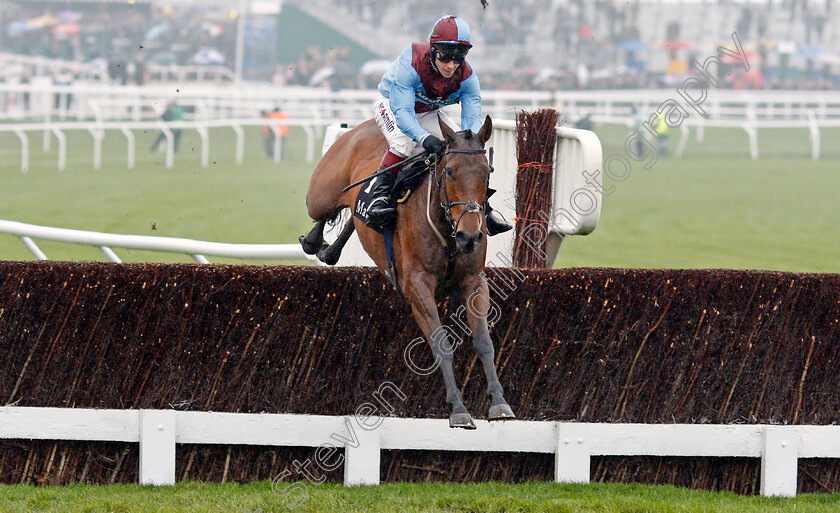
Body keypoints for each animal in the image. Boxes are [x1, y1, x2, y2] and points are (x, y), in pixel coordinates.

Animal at [298, 116, 516, 428]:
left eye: (487, 173)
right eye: (450, 171)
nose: (470, 237)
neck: (448, 230)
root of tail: (362, 126)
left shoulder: (474, 281)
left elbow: (484, 342)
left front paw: (499, 401)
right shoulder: (417, 285)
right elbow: (441, 344)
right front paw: (458, 408)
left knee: (352, 216)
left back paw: (330, 250)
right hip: (322, 194)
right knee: (322, 212)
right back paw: (315, 240)